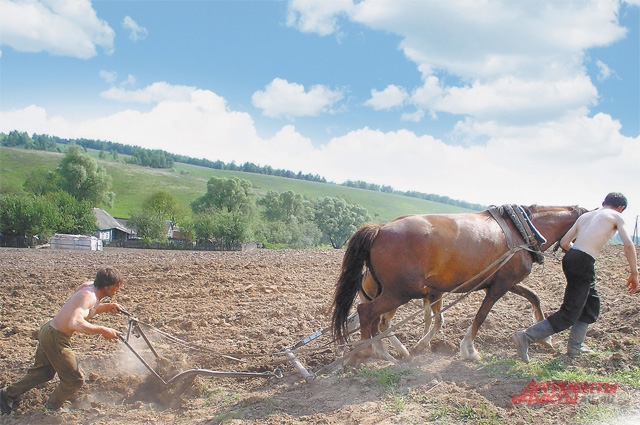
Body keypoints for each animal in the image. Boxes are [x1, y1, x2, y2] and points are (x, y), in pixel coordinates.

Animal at [332, 205, 586, 363]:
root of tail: (379, 229)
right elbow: (480, 316)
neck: (522, 231)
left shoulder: (505, 282)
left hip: (390, 292)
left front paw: (547, 339)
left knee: (373, 319)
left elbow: (534, 296)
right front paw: (469, 350)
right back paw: (369, 352)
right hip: (399, 292)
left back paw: (381, 352)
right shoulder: (499, 286)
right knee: (367, 313)